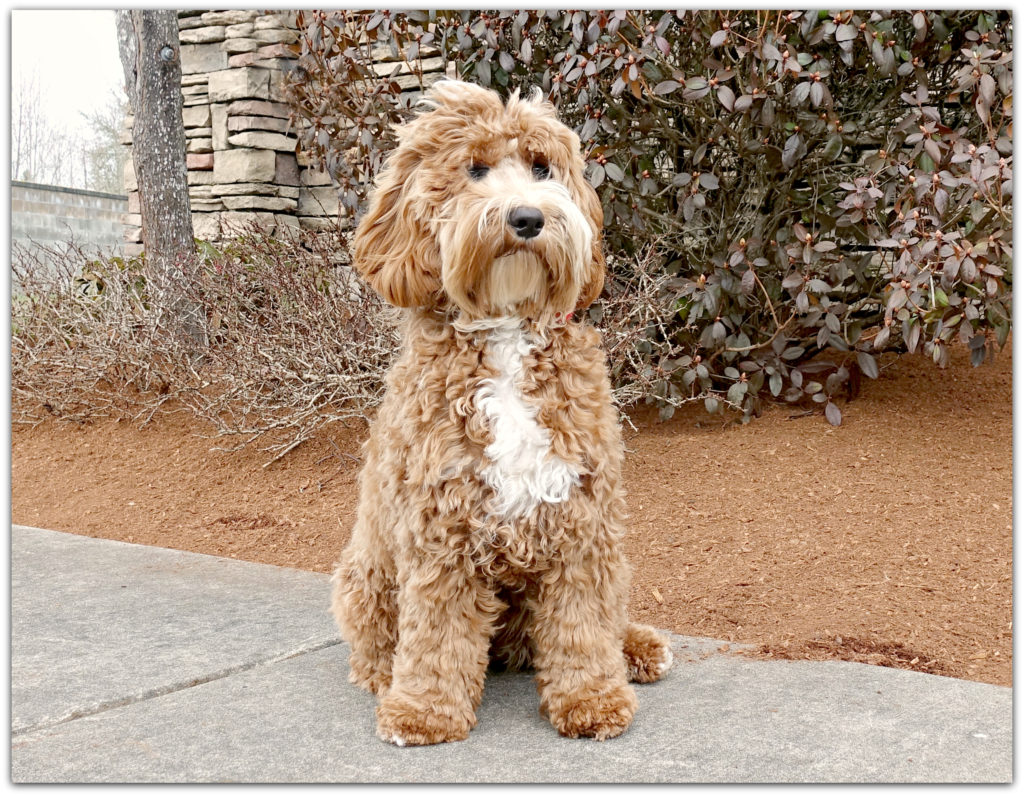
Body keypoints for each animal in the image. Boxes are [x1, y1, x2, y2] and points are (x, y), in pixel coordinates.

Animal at [331, 80, 675, 745]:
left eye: (542, 168)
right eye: (474, 169)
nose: (528, 218)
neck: (508, 331)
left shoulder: (581, 516)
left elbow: (583, 623)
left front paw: (593, 696)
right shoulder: (440, 524)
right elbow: (436, 631)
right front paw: (423, 709)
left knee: (609, 615)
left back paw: (636, 647)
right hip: (366, 574)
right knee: (378, 639)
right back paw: (384, 677)